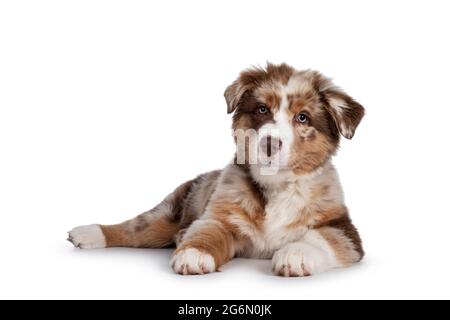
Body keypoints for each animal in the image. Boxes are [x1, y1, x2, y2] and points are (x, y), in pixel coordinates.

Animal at [67, 63, 366, 278]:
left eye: (302, 117)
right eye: (261, 109)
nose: (269, 142)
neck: (275, 187)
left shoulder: (343, 228)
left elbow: (320, 237)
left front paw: (295, 255)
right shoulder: (218, 215)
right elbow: (207, 232)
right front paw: (194, 254)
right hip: (170, 211)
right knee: (134, 228)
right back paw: (88, 233)